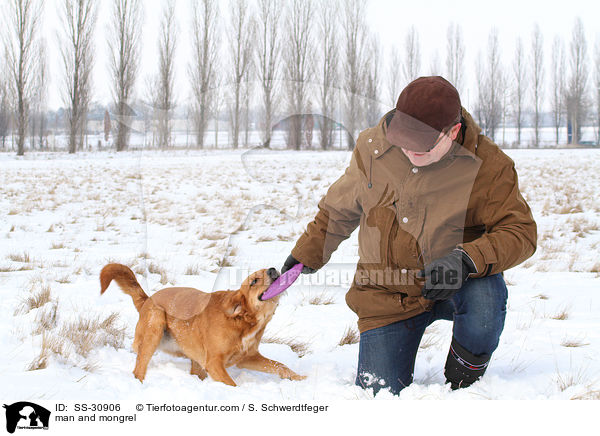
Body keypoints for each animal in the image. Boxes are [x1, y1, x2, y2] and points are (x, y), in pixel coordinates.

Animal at [100, 264, 304, 386]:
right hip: (155, 326)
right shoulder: (214, 363)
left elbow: (280, 366)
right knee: (138, 369)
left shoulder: (247, 357)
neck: (242, 321)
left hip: (195, 357)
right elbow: (232, 384)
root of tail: (147, 299)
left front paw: (299, 377)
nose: (273, 269)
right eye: (254, 281)